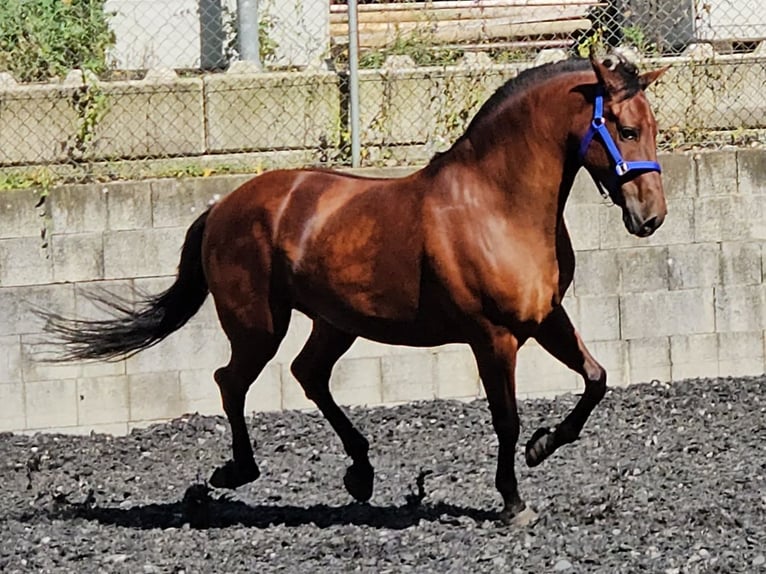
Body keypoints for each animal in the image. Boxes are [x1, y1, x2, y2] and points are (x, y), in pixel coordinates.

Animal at [42, 50, 668, 528]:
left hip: (334, 322)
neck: (496, 204)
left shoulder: (545, 319)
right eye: (626, 129)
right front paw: (514, 504)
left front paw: (542, 447)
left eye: (654, 128)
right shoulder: (493, 338)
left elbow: (596, 379)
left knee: (308, 374)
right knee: (231, 381)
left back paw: (360, 474)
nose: (651, 218)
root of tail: (221, 207)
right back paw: (234, 473)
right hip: (258, 324)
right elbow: (507, 419)